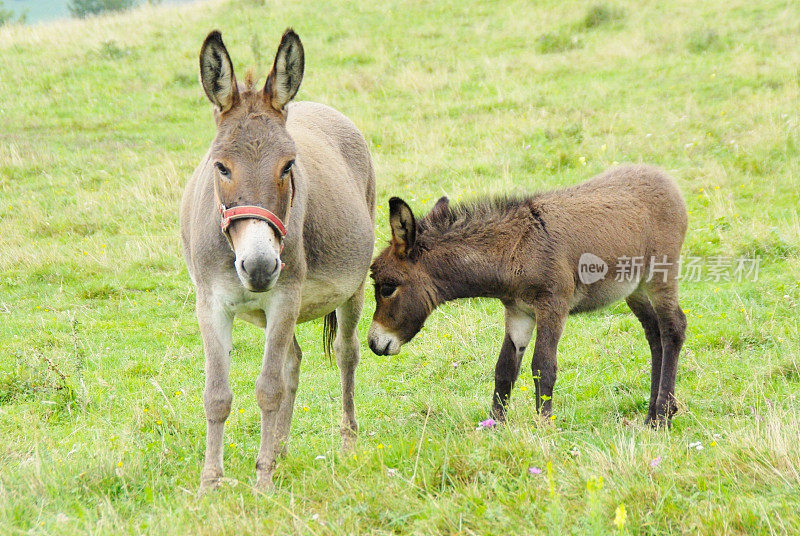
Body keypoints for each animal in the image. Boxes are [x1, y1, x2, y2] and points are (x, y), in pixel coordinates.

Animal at [368, 165, 688, 426]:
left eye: (387, 288)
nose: (373, 343)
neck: (514, 250)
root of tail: (664, 177)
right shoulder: (518, 311)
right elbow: (505, 369)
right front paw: (495, 426)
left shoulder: (553, 306)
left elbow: (543, 366)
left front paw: (544, 426)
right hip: (634, 289)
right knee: (655, 334)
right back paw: (652, 414)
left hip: (659, 276)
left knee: (673, 328)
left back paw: (662, 417)